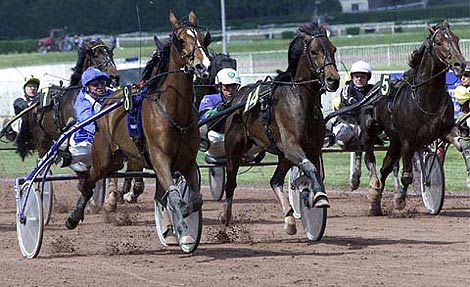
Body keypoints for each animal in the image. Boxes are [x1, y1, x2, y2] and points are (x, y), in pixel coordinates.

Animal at [65, 11, 211, 248]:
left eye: (204, 38)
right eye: (181, 40)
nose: (203, 66)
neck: (174, 112)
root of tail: (106, 103)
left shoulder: (188, 161)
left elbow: (194, 199)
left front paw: (183, 217)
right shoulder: (160, 159)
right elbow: (173, 195)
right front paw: (182, 229)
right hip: (102, 157)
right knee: (89, 182)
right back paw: (74, 217)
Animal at [222, 22, 340, 234]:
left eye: (333, 49)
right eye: (314, 51)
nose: (333, 80)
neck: (301, 100)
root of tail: (237, 97)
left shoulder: (312, 148)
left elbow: (313, 171)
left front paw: (313, 197)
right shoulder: (292, 144)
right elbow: (309, 167)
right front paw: (318, 198)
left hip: (283, 154)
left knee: (275, 181)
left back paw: (289, 219)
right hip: (234, 150)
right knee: (231, 183)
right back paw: (225, 217)